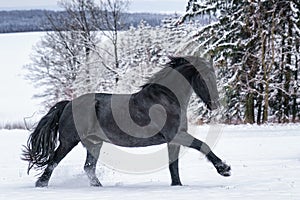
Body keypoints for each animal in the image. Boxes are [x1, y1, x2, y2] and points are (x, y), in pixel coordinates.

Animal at [22, 55, 231, 188]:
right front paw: (224, 169)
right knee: (53, 162)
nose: (215, 104)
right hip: (68, 141)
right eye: (204, 77)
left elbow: (174, 166)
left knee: (88, 168)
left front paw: (177, 185)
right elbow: (202, 145)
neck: (166, 100)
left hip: (94, 143)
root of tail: (68, 104)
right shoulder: (176, 136)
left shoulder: (173, 141)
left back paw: (99, 187)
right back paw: (41, 185)